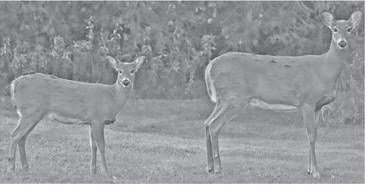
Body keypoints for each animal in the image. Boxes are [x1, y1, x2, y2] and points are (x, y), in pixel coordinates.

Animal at [8, 55, 147, 179]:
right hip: (31, 112)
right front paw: (106, 173)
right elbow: (101, 145)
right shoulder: (98, 118)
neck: (112, 97)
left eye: (133, 71)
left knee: (22, 137)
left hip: (33, 114)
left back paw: (26, 169)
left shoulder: (91, 121)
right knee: (15, 135)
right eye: (119, 71)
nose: (125, 82)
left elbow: (93, 145)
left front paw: (93, 171)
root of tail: (13, 84)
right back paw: (11, 169)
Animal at [206, 10, 364, 179]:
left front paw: (309, 170)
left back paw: (209, 167)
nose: (342, 43)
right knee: (214, 125)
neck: (326, 69)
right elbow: (310, 135)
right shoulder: (307, 100)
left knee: (207, 123)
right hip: (236, 98)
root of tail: (210, 66)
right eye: (334, 29)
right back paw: (218, 168)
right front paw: (315, 172)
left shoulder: (318, 106)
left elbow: (313, 134)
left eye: (349, 29)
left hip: (223, 99)